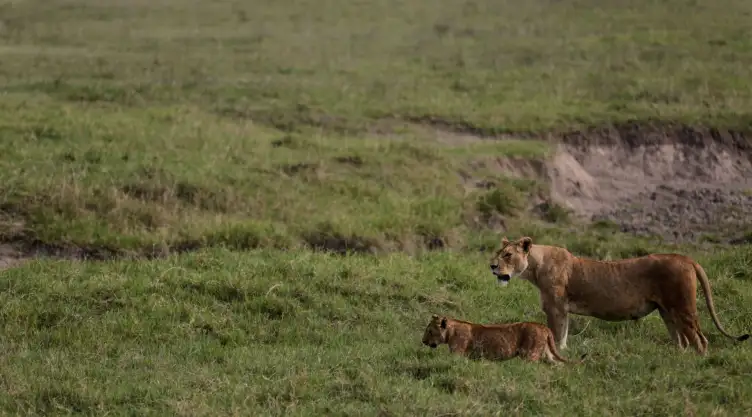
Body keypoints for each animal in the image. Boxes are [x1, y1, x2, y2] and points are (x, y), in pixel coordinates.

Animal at [421, 314, 587, 365]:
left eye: (429, 331)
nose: (423, 341)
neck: (451, 330)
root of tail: (544, 327)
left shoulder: (457, 353)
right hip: (547, 354)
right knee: (556, 364)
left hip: (530, 354)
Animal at [489, 236, 750, 355]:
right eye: (498, 252)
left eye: (508, 255)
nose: (492, 266)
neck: (535, 266)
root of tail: (686, 258)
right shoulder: (562, 310)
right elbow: (562, 334)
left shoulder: (555, 307)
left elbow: (555, 332)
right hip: (667, 312)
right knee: (682, 341)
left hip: (683, 308)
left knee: (699, 340)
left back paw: (697, 362)